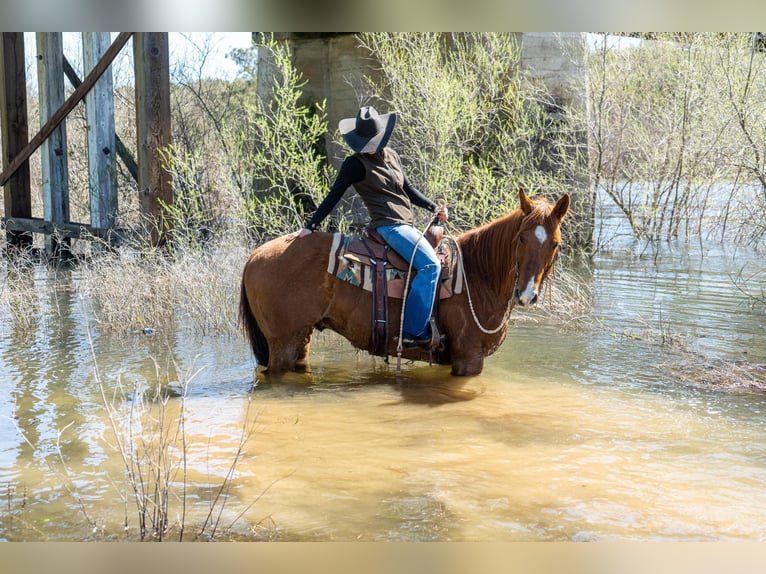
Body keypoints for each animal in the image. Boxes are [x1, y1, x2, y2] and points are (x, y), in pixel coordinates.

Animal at [240, 188, 568, 378]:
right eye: (521, 238)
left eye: (555, 244)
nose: (526, 294)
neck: (477, 275)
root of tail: (255, 255)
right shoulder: (469, 358)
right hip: (283, 343)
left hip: (300, 340)